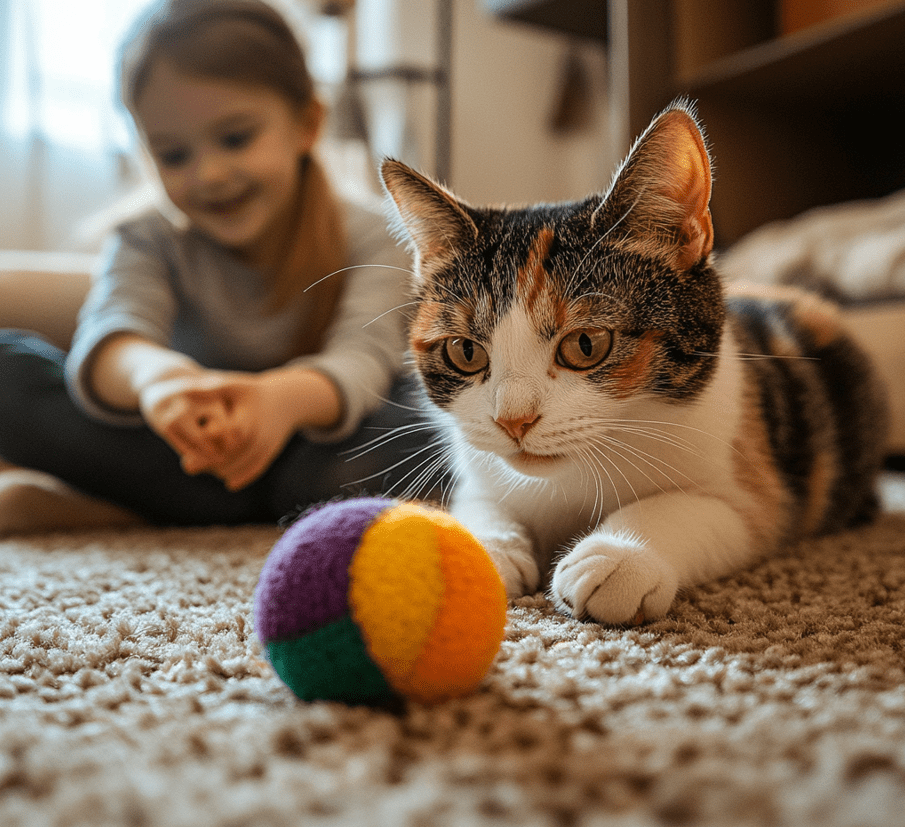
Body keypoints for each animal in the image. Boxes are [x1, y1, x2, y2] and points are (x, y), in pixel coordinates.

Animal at [378, 100, 888, 624]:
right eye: (465, 352)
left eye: (586, 344)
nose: (513, 421)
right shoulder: (480, 469)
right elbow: (480, 504)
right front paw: (474, 550)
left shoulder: (755, 485)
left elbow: (697, 508)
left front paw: (617, 557)